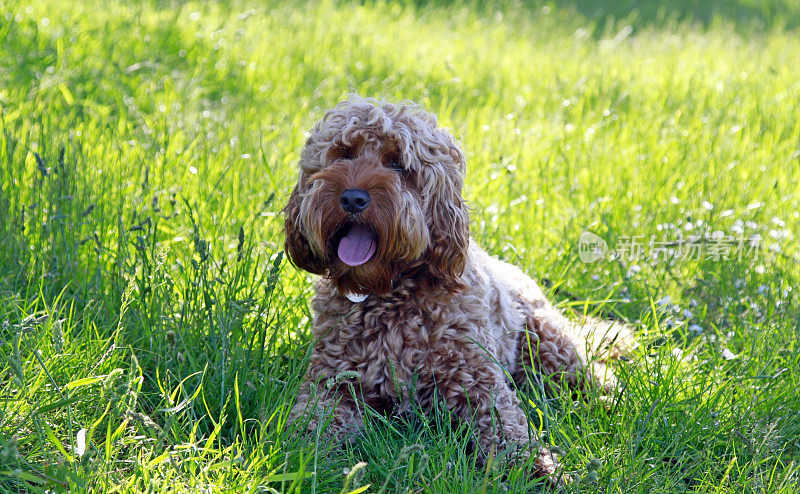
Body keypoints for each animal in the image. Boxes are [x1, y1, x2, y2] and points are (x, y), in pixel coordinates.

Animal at [282, 94, 632, 484]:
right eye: (344, 154)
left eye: (398, 164)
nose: (353, 198)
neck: (390, 295)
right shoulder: (333, 383)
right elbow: (310, 425)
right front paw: (298, 458)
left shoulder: (479, 383)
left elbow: (509, 432)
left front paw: (541, 470)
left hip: (548, 345)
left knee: (587, 373)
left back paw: (608, 398)